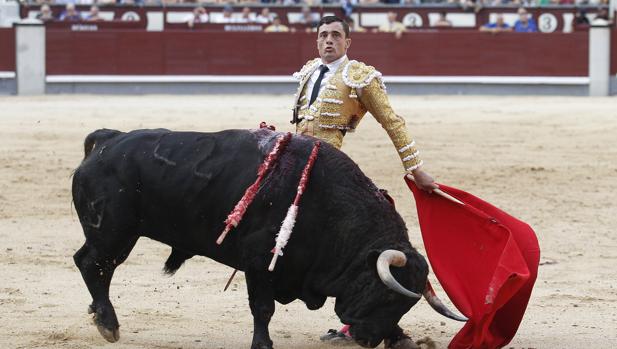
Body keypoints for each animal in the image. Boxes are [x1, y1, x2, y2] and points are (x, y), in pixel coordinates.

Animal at [71, 128, 462, 348]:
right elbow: (263, 307)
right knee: (92, 264)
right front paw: (263, 344)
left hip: (115, 234)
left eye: (404, 304)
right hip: (114, 231)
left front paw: (402, 339)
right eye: (386, 295)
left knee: (96, 267)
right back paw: (108, 324)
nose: (368, 339)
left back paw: (96, 313)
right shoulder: (260, 263)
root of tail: (106, 140)